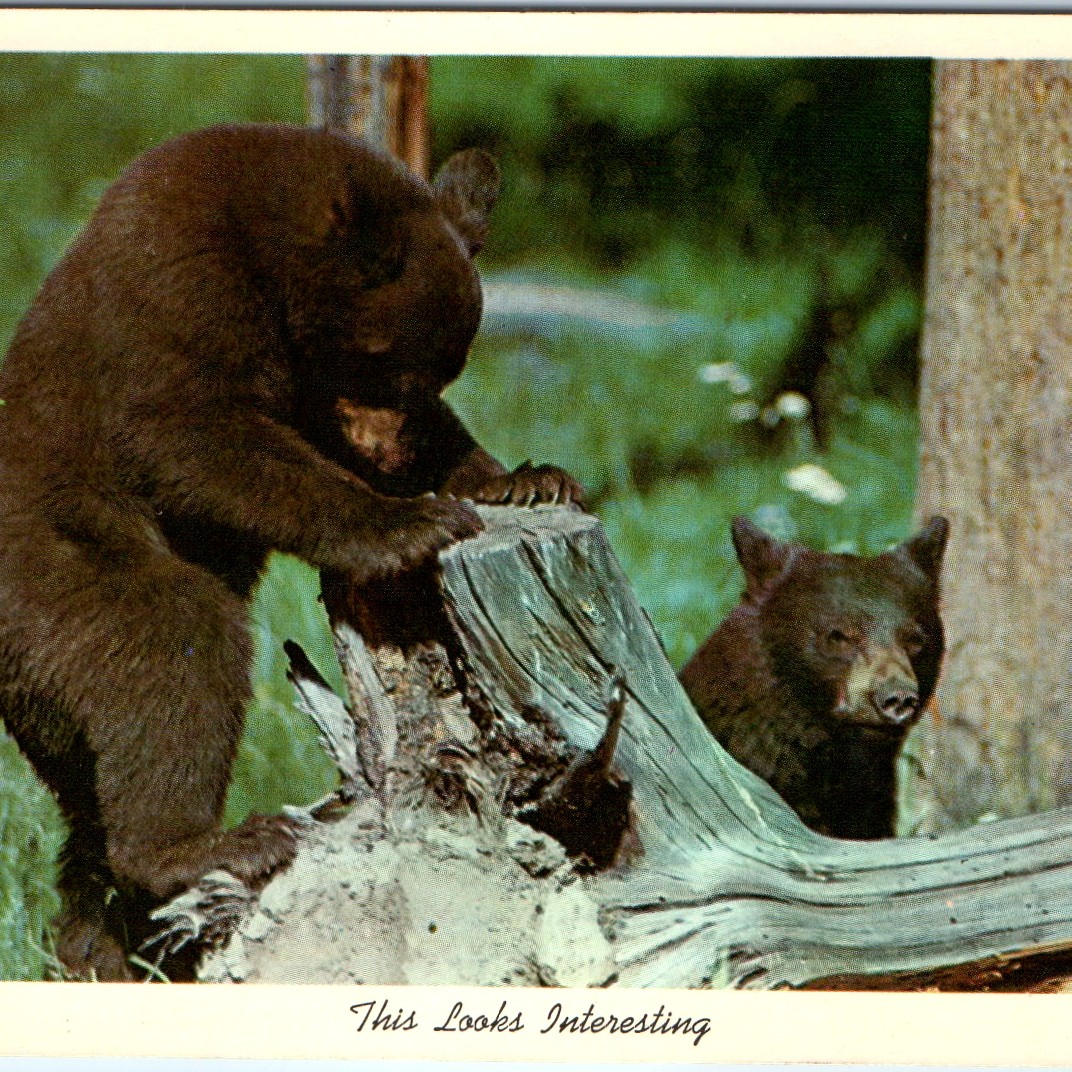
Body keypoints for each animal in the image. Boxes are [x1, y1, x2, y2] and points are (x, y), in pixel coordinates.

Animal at [0, 123, 582, 981]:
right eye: (384, 358)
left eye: (444, 367)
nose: (389, 455)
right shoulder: (178, 292)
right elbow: (193, 432)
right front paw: (407, 523)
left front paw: (527, 479)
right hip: (61, 577)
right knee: (169, 641)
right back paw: (210, 846)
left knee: (87, 810)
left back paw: (96, 942)